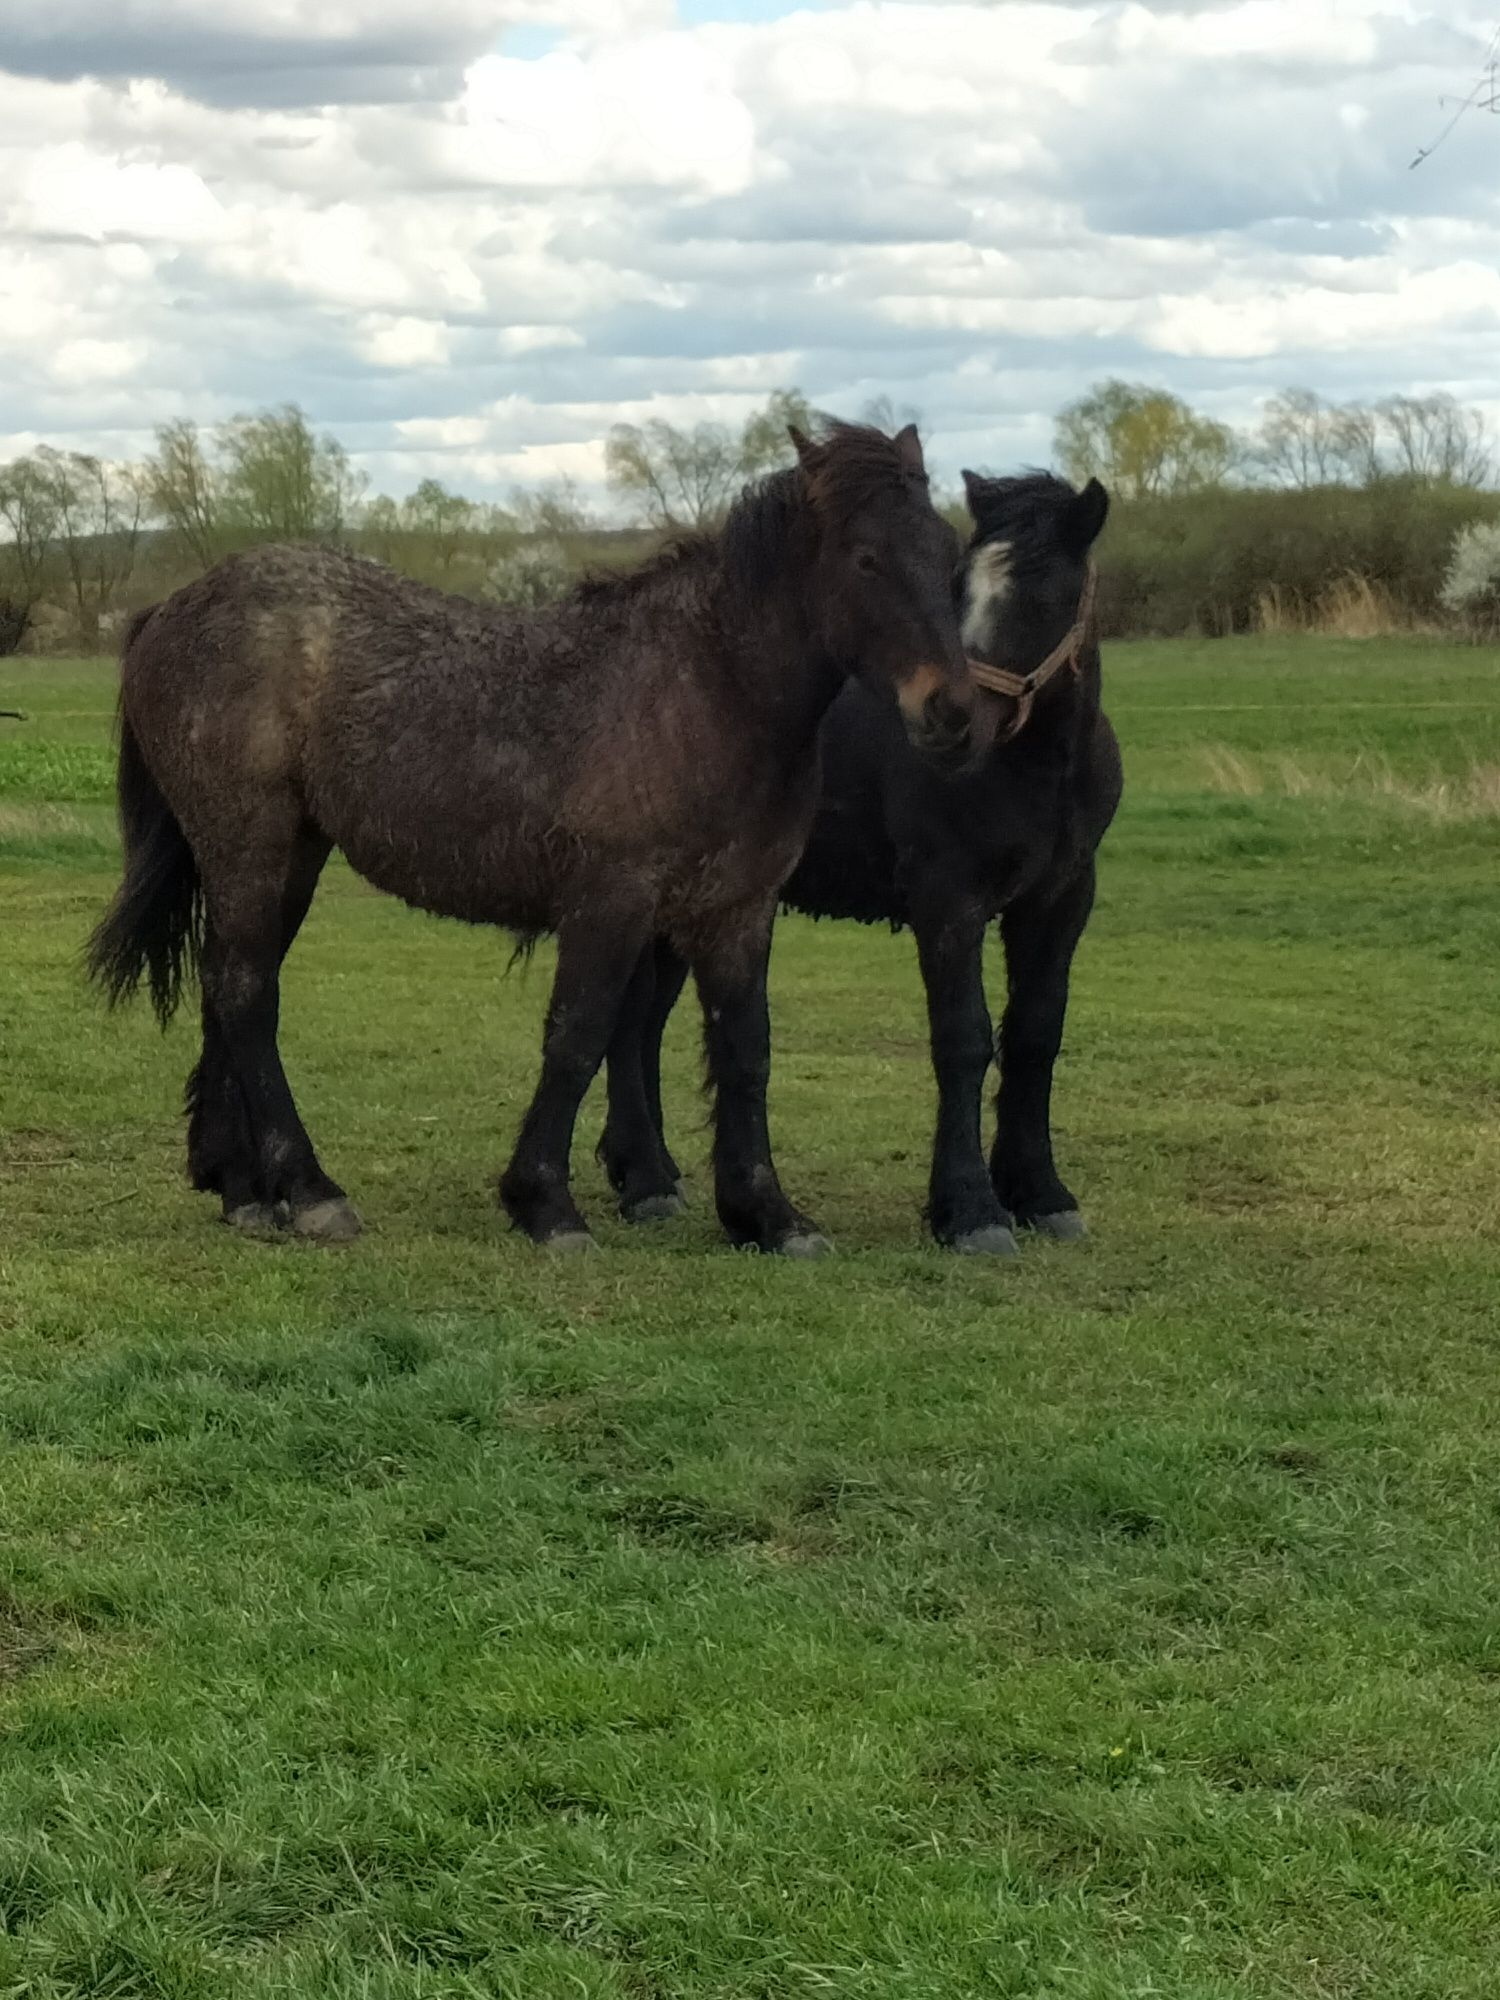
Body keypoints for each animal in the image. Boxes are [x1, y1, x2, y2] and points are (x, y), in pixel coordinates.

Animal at [88, 424, 976, 1256]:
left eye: (948, 553)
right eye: (866, 558)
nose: (952, 711)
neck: (703, 690)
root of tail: (171, 608)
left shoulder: (740, 910)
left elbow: (746, 1052)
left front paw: (767, 1215)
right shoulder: (611, 901)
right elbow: (578, 1038)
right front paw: (545, 1203)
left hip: (288, 856)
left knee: (230, 988)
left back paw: (243, 1190)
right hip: (249, 842)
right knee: (246, 993)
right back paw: (308, 1190)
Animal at [596, 468, 1120, 1248]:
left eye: (1042, 594)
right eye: (958, 588)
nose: (953, 723)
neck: (1037, 768)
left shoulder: (1060, 901)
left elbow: (1035, 1034)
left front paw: (1040, 1192)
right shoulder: (949, 899)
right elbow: (964, 1038)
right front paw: (970, 1210)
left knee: (642, 1022)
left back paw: (647, 1171)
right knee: (630, 1022)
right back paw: (647, 1182)